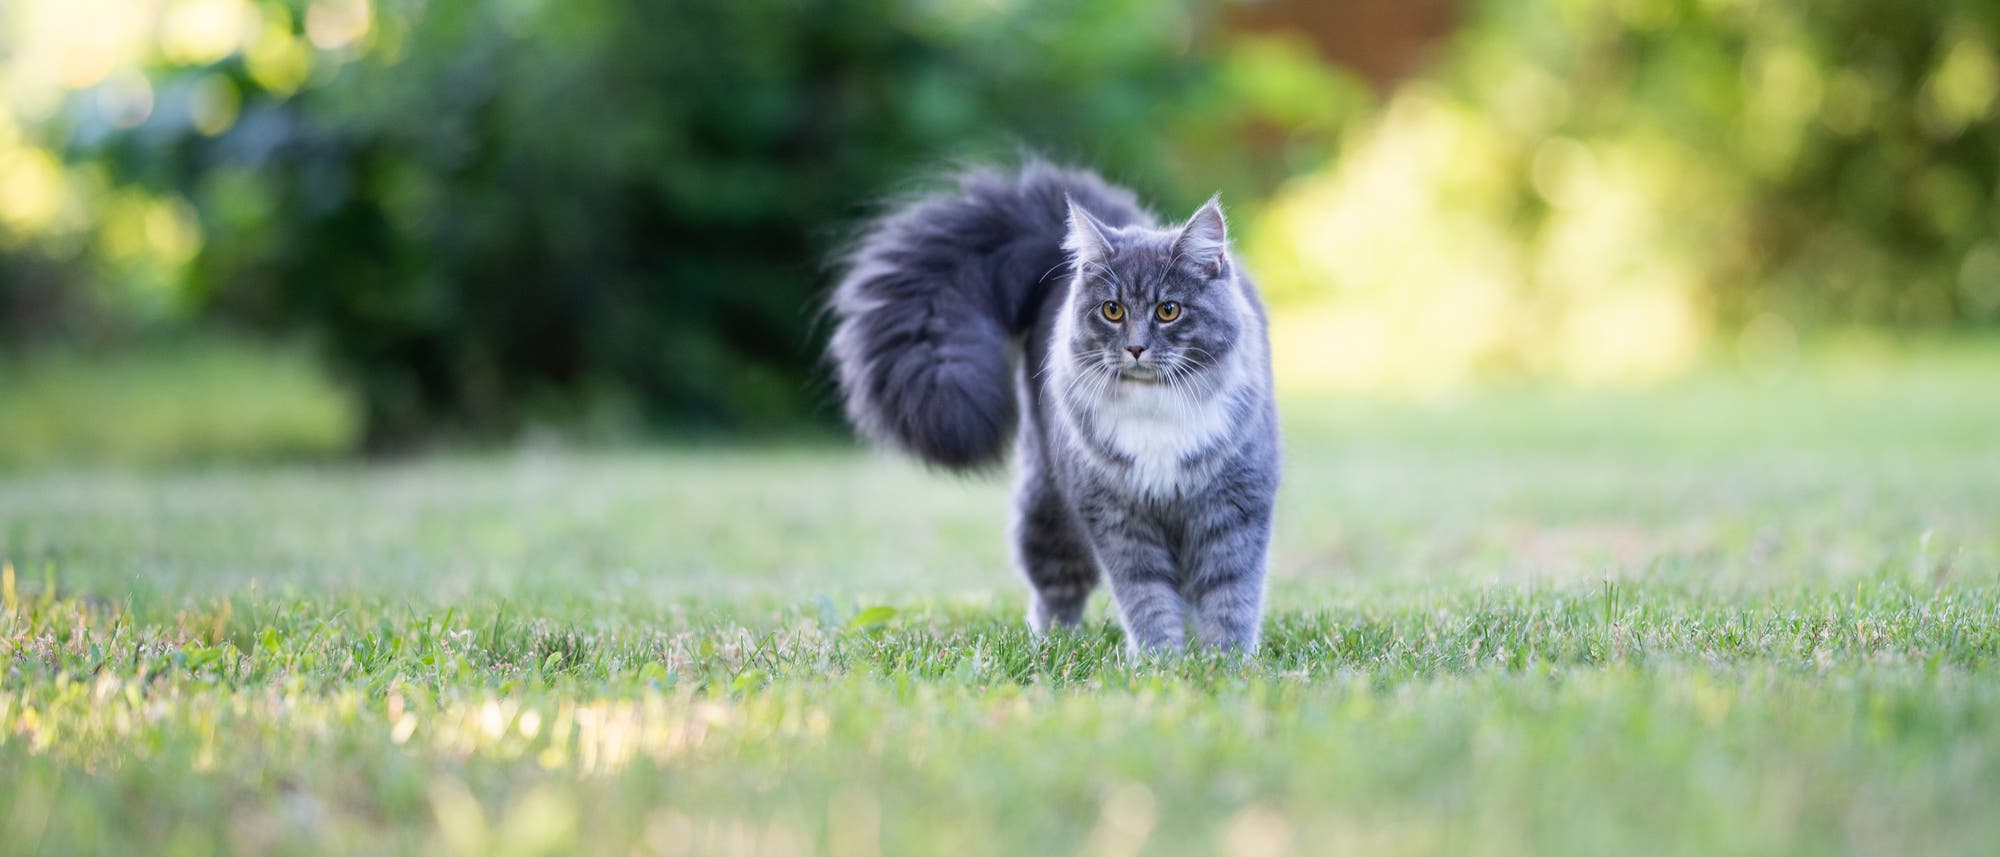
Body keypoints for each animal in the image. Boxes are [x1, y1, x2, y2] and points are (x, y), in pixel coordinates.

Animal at [828, 160, 1280, 652]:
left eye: (1169, 311)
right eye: (1112, 311)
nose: (1136, 348)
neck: (1155, 409)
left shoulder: (1235, 509)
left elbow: (1230, 593)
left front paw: (1224, 659)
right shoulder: (1117, 519)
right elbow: (1146, 595)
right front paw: (1162, 657)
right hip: (1047, 510)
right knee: (1057, 588)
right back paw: (1049, 641)